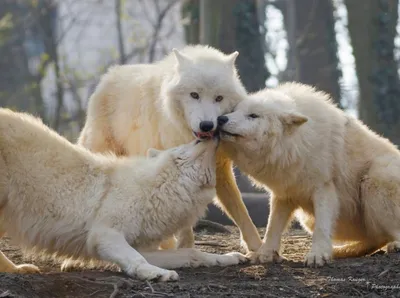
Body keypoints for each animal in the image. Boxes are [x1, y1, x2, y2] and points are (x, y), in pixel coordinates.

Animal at [0, 108, 247, 280]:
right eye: (194, 141)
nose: (213, 127)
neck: (154, 190)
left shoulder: (140, 246)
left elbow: (192, 253)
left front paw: (227, 258)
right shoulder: (105, 235)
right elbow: (137, 259)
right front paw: (156, 274)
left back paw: (18, 269)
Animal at [217, 82, 400, 268]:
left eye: (253, 115)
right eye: (234, 110)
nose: (221, 119)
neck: (295, 144)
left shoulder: (323, 188)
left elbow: (321, 227)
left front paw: (317, 255)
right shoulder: (285, 194)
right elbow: (272, 227)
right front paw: (265, 254)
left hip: (375, 181)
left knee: (388, 234)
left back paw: (393, 245)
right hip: (309, 219)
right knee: (375, 239)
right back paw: (341, 251)